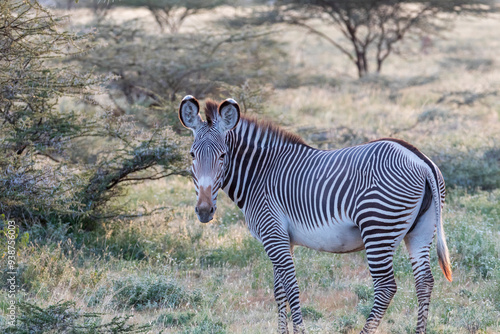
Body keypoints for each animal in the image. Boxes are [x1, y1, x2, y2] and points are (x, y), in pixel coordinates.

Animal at [180, 95, 454, 332]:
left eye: (223, 156)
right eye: (192, 155)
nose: (204, 211)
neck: (260, 174)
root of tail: (420, 160)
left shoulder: (273, 235)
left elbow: (291, 288)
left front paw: (300, 331)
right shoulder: (283, 240)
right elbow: (279, 291)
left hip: (378, 228)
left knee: (386, 287)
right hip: (421, 230)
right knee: (424, 282)